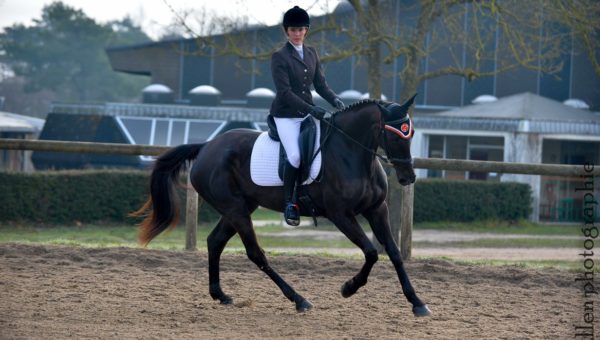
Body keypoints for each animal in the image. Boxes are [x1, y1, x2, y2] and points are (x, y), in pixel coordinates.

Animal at [134, 97, 432, 318]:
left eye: (411, 134)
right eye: (394, 136)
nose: (408, 177)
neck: (353, 153)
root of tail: (207, 146)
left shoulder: (377, 209)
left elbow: (393, 253)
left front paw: (417, 303)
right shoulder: (341, 215)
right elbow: (371, 252)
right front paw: (349, 288)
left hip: (240, 207)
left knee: (215, 241)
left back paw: (220, 294)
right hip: (236, 210)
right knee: (256, 254)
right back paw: (299, 299)